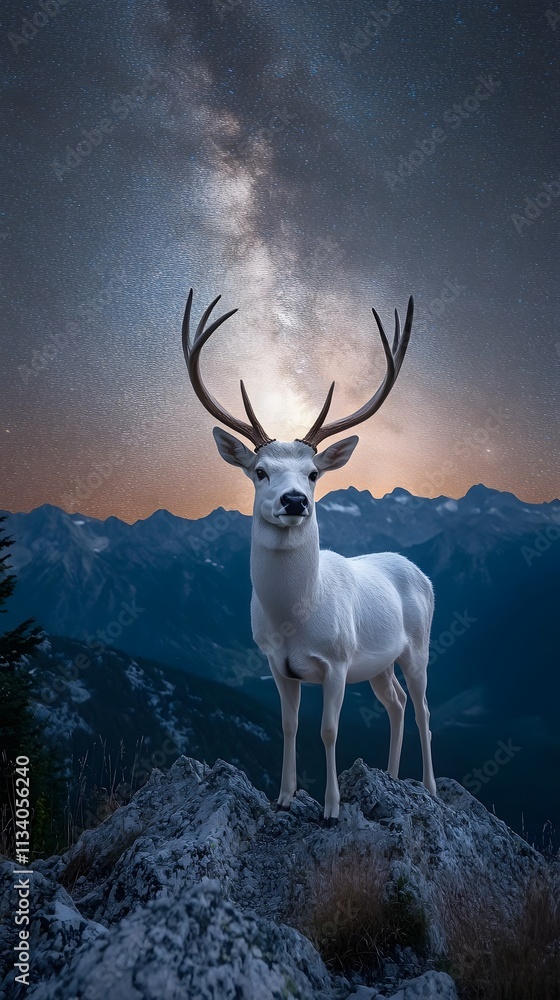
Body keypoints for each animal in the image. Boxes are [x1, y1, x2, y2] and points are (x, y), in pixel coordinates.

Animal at [181, 289, 437, 824]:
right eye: (259, 471)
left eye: (315, 473)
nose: (295, 500)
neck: (294, 616)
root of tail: (419, 572)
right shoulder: (276, 664)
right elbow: (289, 726)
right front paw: (283, 796)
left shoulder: (337, 662)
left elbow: (328, 730)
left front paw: (332, 807)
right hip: (378, 662)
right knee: (397, 703)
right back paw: (392, 778)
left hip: (418, 646)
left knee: (424, 708)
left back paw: (427, 788)